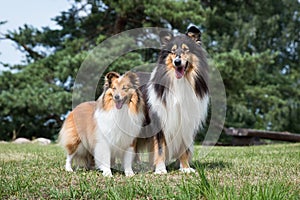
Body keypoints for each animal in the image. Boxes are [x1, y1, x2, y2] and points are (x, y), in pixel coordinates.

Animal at [145, 25, 209, 173]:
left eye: (186, 49)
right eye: (173, 52)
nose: (177, 62)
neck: (181, 81)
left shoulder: (186, 122)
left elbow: (184, 148)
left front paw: (185, 168)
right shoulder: (160, 122)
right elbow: (160, 148)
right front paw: (160, 169)